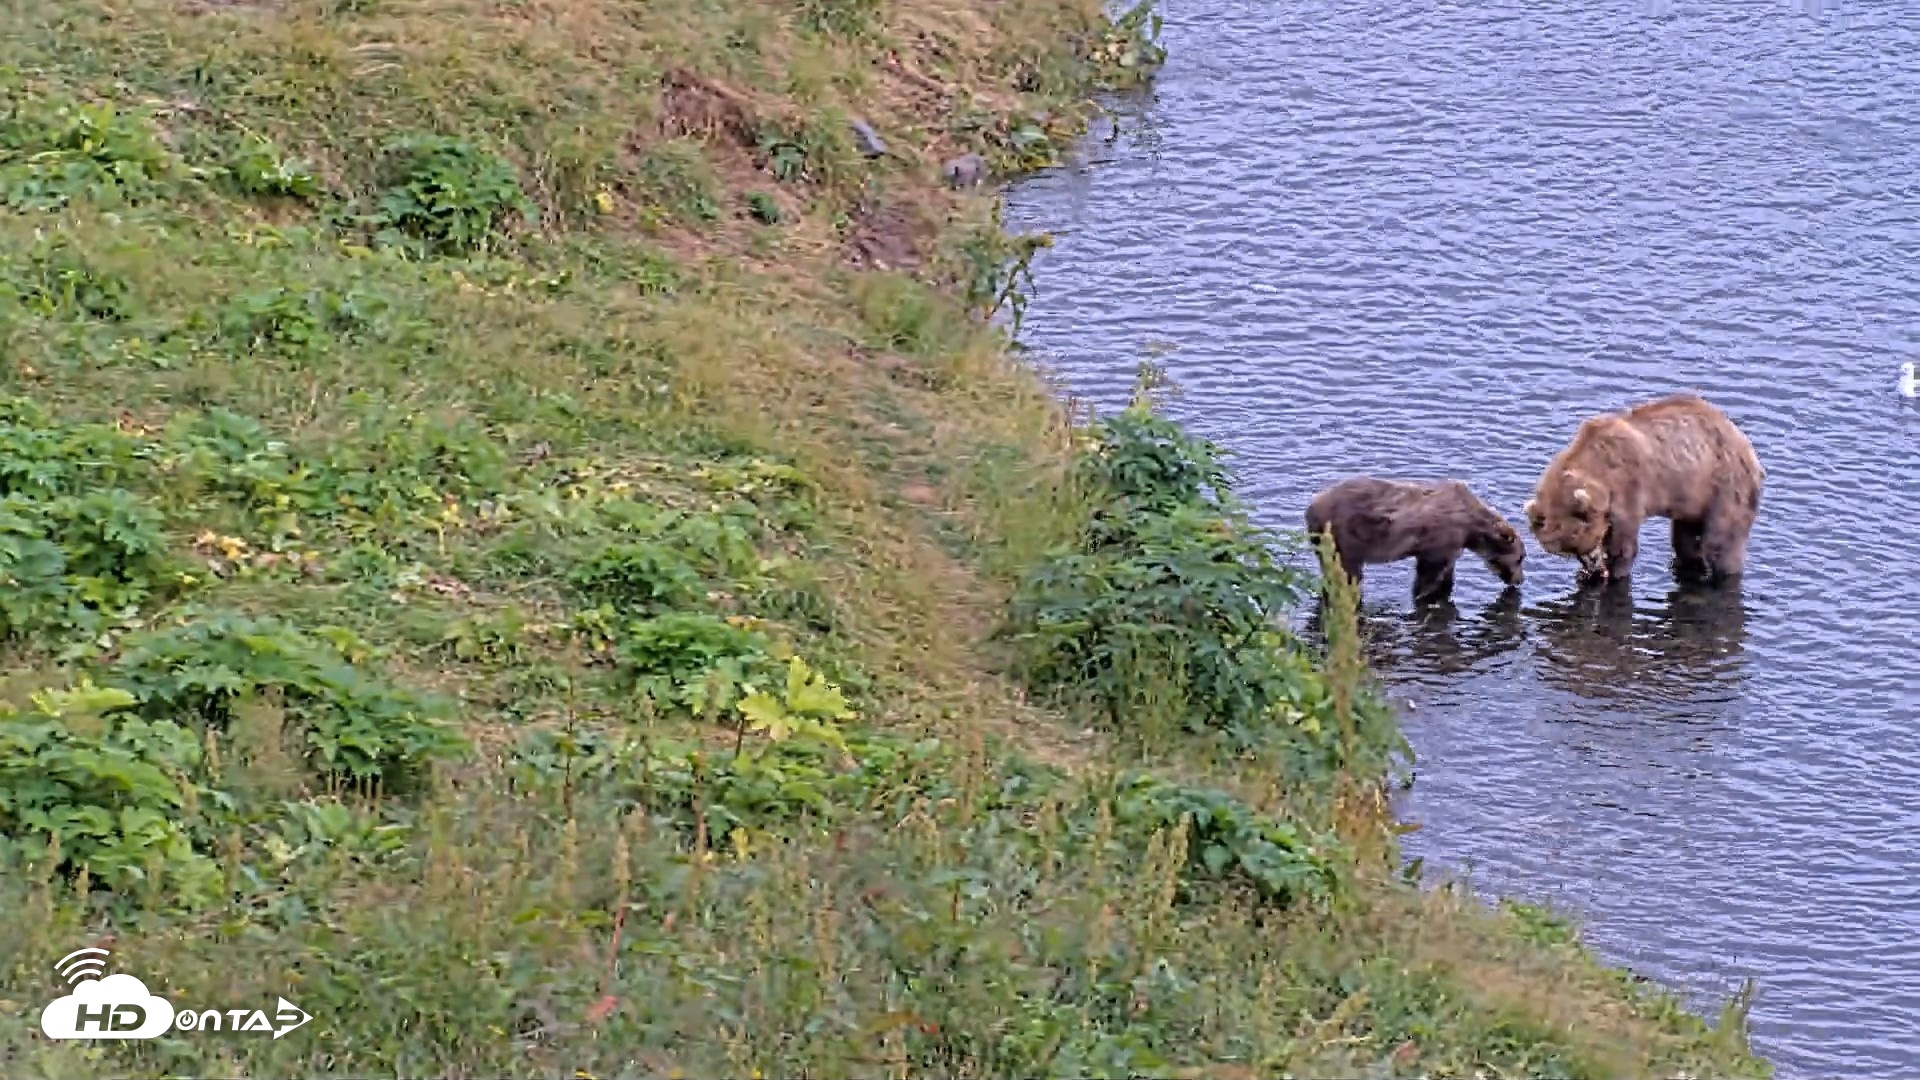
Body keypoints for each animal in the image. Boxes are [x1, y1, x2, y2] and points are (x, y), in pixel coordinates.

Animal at [1304, 477, 1527, 605]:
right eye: (1520, 558)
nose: (1520, 580)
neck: (1471, 528)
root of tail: (1311, 506)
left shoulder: (1451, 545)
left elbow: (1446, 572)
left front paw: (1441, 592)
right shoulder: (1440, 537)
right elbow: (1429, 572)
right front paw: (1423, 595)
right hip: (1344, 536)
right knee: (1347, 574)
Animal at [1524, 391, 1764, 587]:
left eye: (1581, 538)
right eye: (1568, 550)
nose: (1594, 565)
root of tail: (1749, 449)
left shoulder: (1629, 485)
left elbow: (1624, 543)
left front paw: (1615, 571)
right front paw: (1586, 575)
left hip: (1725, 486)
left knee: (1721, 542)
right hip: (1692, 498)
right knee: (1684, 540)